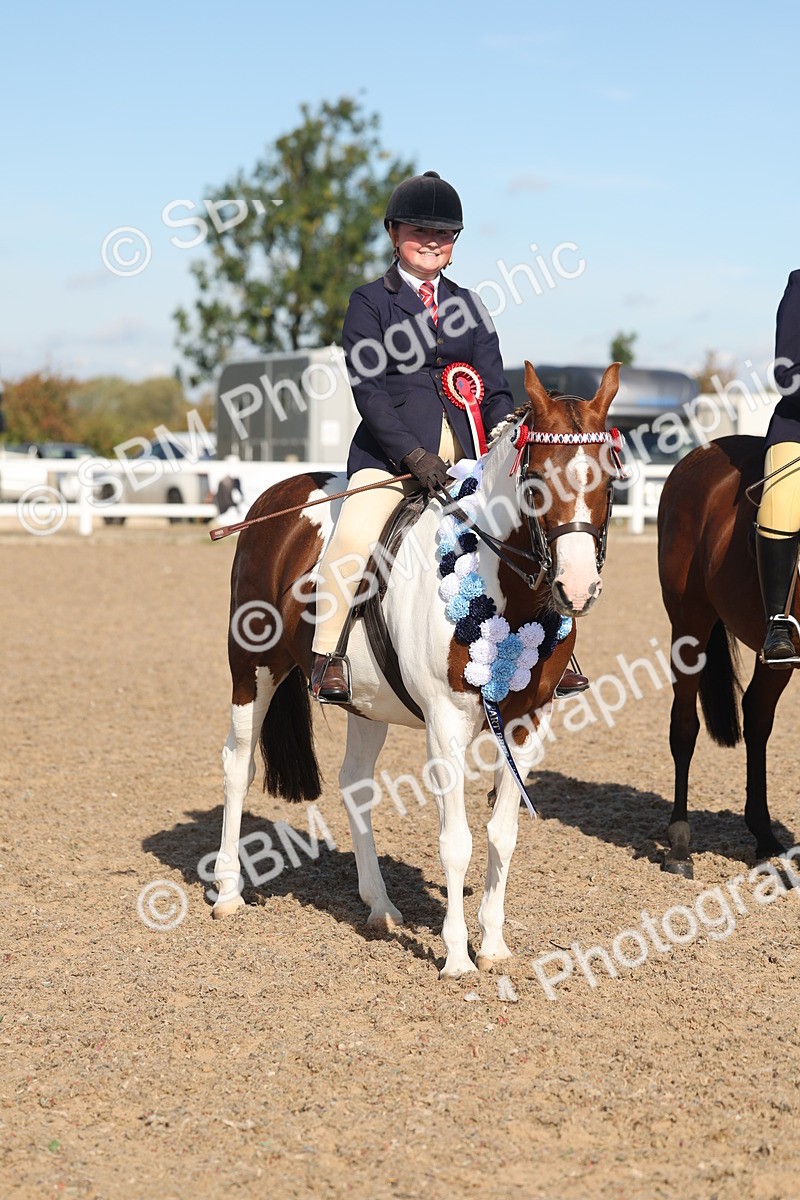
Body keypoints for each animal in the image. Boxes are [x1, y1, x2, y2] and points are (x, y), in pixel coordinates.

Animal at [212, 361, 622, 977]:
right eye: (534, 481)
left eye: (610, 481)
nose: (576, 589)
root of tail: (275, 497)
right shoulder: (445, 724)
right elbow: (457, 841)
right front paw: (456, 957)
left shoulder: (528, 720)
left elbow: (502, 833)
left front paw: (493, 945)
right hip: (253, 668)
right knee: (239, 764)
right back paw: (228, 892)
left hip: (364, 700)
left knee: (354, 782)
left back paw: (379, 907)